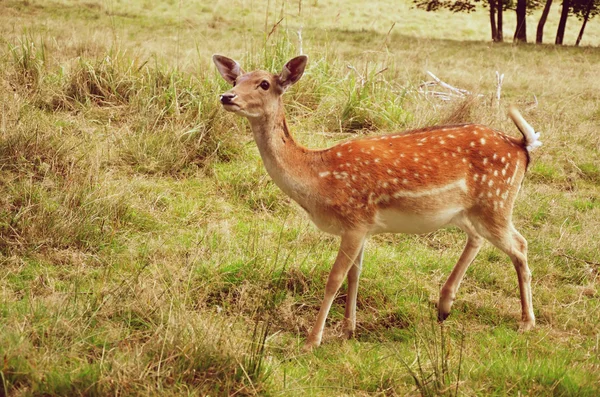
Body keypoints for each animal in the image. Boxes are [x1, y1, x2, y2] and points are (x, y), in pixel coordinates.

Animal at [213, 54, 540, 348]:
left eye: (264, 84)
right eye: (236, 80)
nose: (226, 96)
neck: (319, 178)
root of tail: (522, 147)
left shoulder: (355, 220)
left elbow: (334, 278)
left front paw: (311, 341)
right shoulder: (362, 227)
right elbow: (354, 275)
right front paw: (348, 329)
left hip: (496, 200)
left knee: (520, 245)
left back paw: (526, 322)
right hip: (468, 211)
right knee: (478, 238)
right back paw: (444, 306)